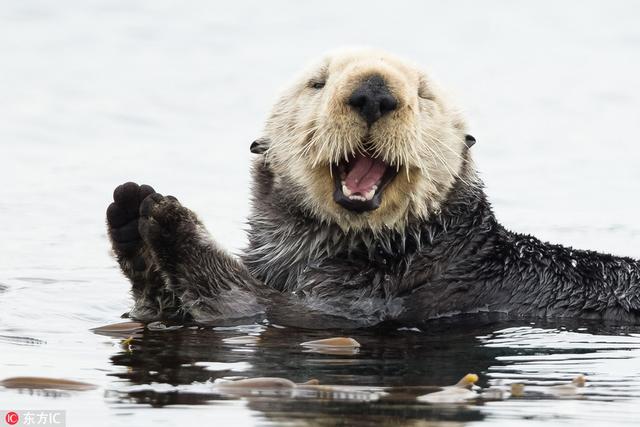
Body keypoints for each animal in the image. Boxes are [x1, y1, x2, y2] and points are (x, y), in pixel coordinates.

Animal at [106, 50, 640, 330]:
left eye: (424, 94)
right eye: (317, 83)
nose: (374, 91)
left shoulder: (352, 308)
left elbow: (245, 301)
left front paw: (168, 220)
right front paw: (130, 213)